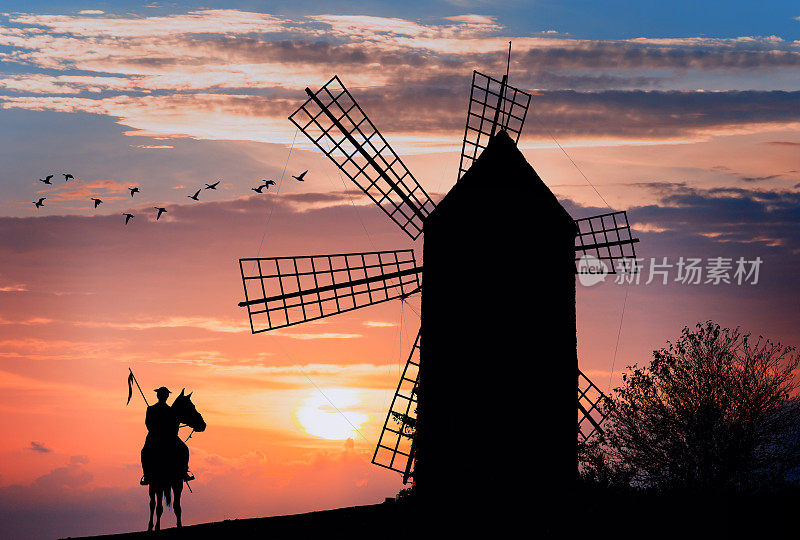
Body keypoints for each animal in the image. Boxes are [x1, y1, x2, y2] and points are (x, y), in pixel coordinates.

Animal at [148, 388, 206, 532]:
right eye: (190, 406)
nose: (203, 424)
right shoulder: (159, 481)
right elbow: (158, 507)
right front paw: (157, 527)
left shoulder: (178, 481)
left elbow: (177, 506)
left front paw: (179, 525)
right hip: (153, 483)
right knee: (152, 504)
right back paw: (150, 527)